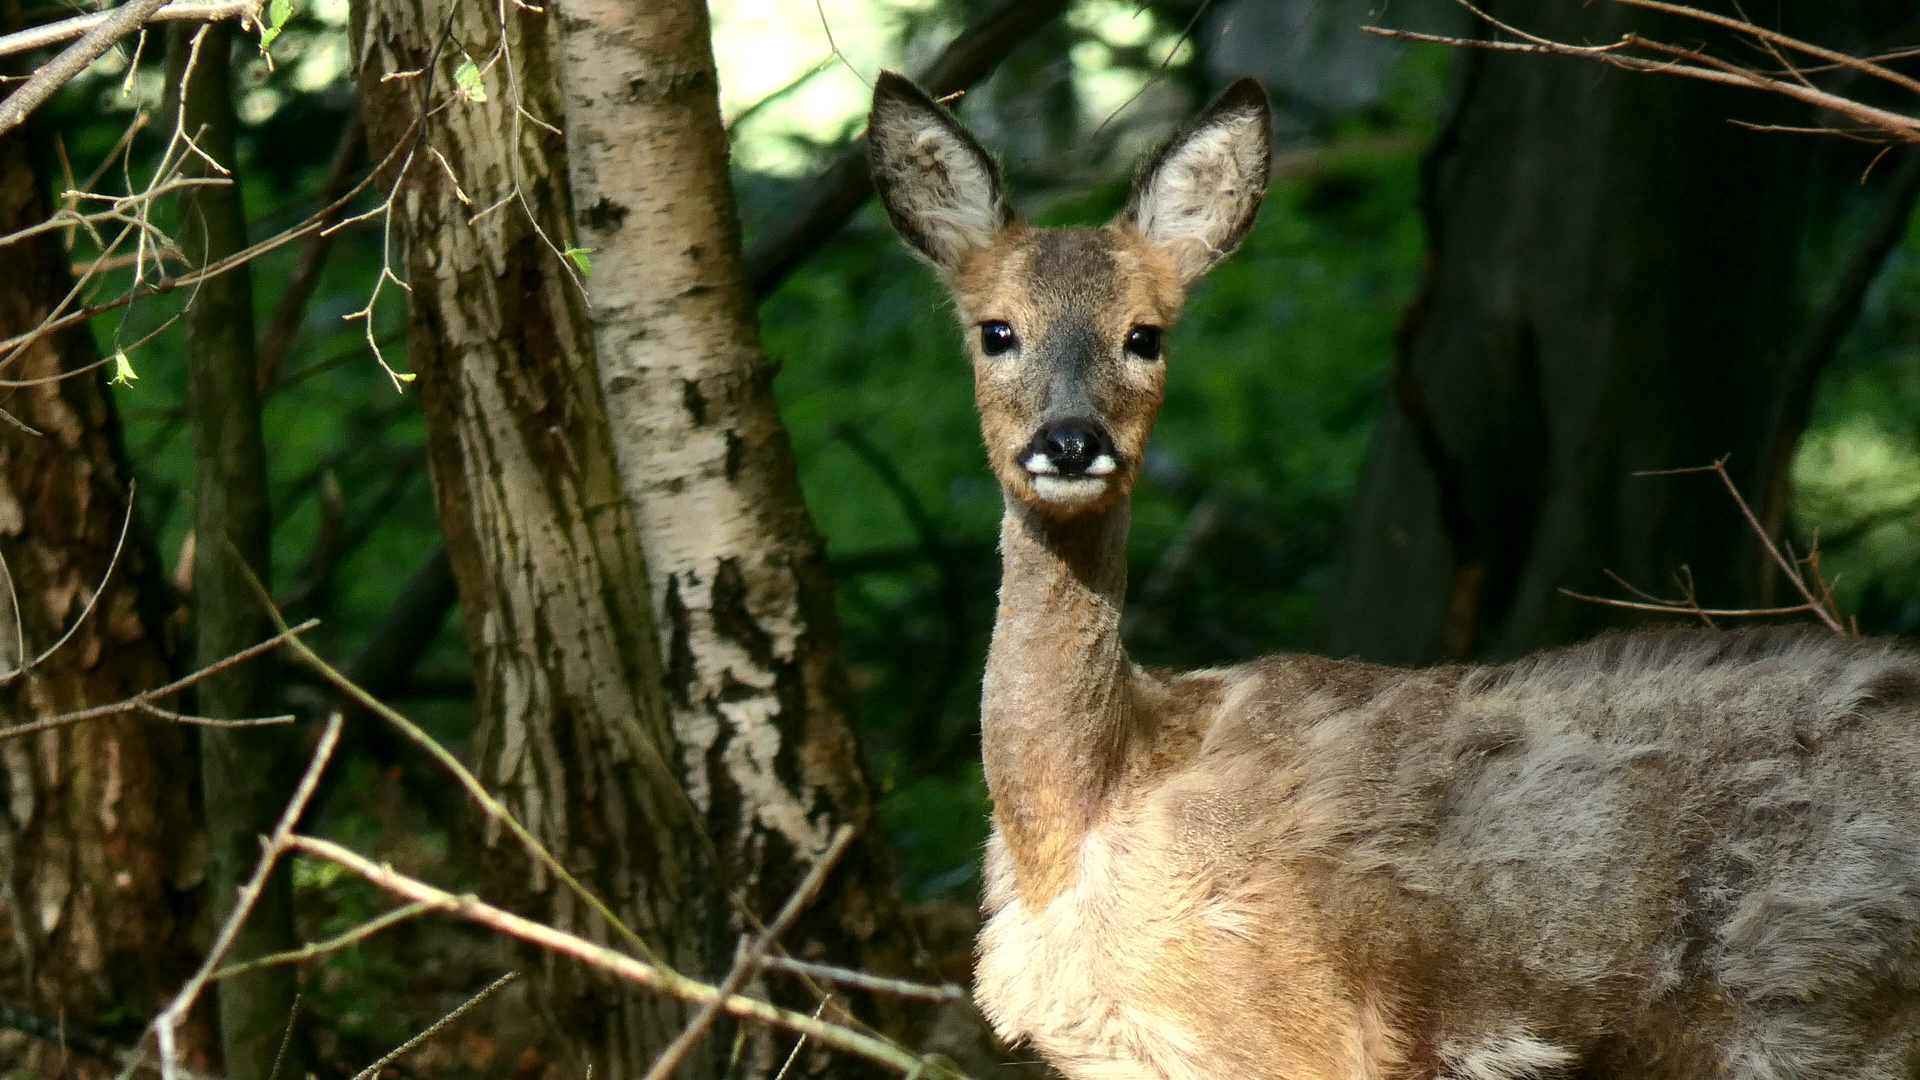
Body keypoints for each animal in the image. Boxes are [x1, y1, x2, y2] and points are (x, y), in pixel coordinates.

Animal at [867, 73, 1920, 1076]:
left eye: (1146, 334)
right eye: (996, 330)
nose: (1070, 442)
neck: (1089, 813)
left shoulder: (1292, 1036)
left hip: (1813, 1001)